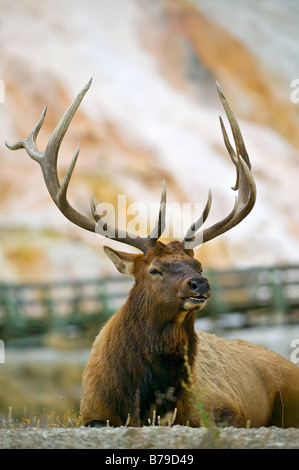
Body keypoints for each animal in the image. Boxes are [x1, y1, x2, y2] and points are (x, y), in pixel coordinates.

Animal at [6, 79, 299, 428]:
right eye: (154, 269)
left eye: (198, 264)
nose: (200, 284)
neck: (147, 398)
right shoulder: (91, 413)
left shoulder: (223, 407)